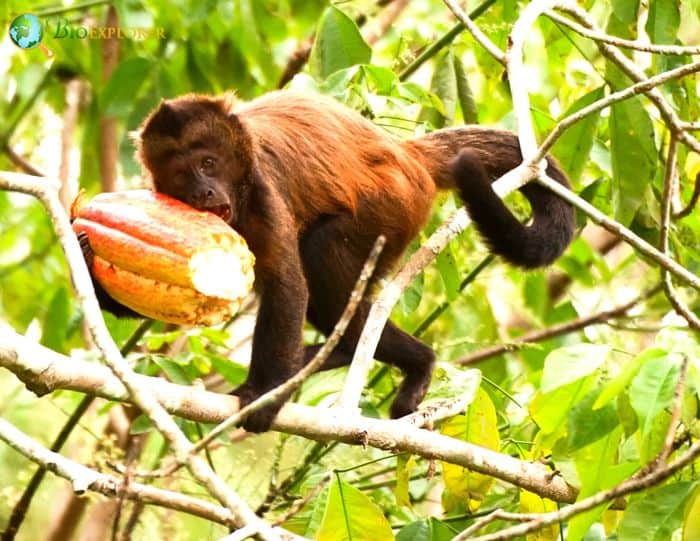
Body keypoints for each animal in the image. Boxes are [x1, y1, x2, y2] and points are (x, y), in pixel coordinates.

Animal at [79, 90, 575, 433]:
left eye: (208, 162)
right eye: (182, 174)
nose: (203, 192)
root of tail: (405, 153)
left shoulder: (264, 191)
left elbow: (287, 285)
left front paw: (263, 398)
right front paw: (85, 250)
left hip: (392, 207)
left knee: (323, 266)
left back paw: (417, 362)